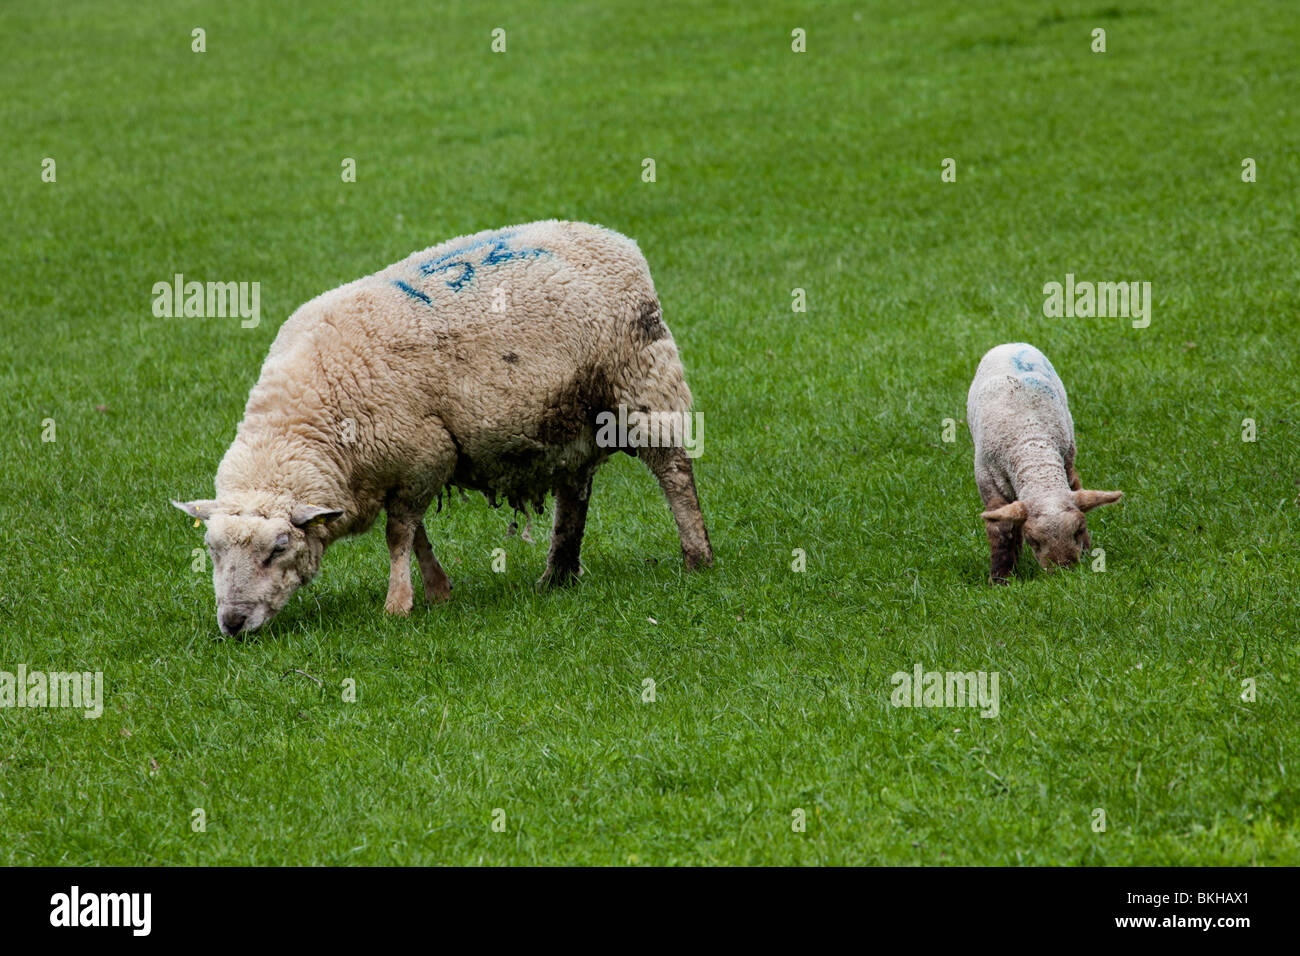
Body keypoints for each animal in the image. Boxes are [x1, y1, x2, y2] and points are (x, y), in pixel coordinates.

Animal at [173, 220, 713, 635]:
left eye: (278, 549)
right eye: (211, 550)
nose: (232, 624)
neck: (312, 417)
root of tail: (612, 237)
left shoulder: (423, 455)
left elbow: (399, 535)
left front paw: (399, 605)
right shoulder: (404, 464)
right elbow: (418, 535)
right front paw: (437, 591)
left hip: (643, 382)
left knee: (674, 473)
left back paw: (697, 558)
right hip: (568, 418)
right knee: (574, 493)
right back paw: (558, 575)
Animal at [966, 343, 1122, 583]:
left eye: (1080, 530)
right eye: (1033, 540)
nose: (1063, 572)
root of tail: (1011, 344)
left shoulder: (1066, 460)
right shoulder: (989, 481)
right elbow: (1000, 529)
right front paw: (1001, 578)